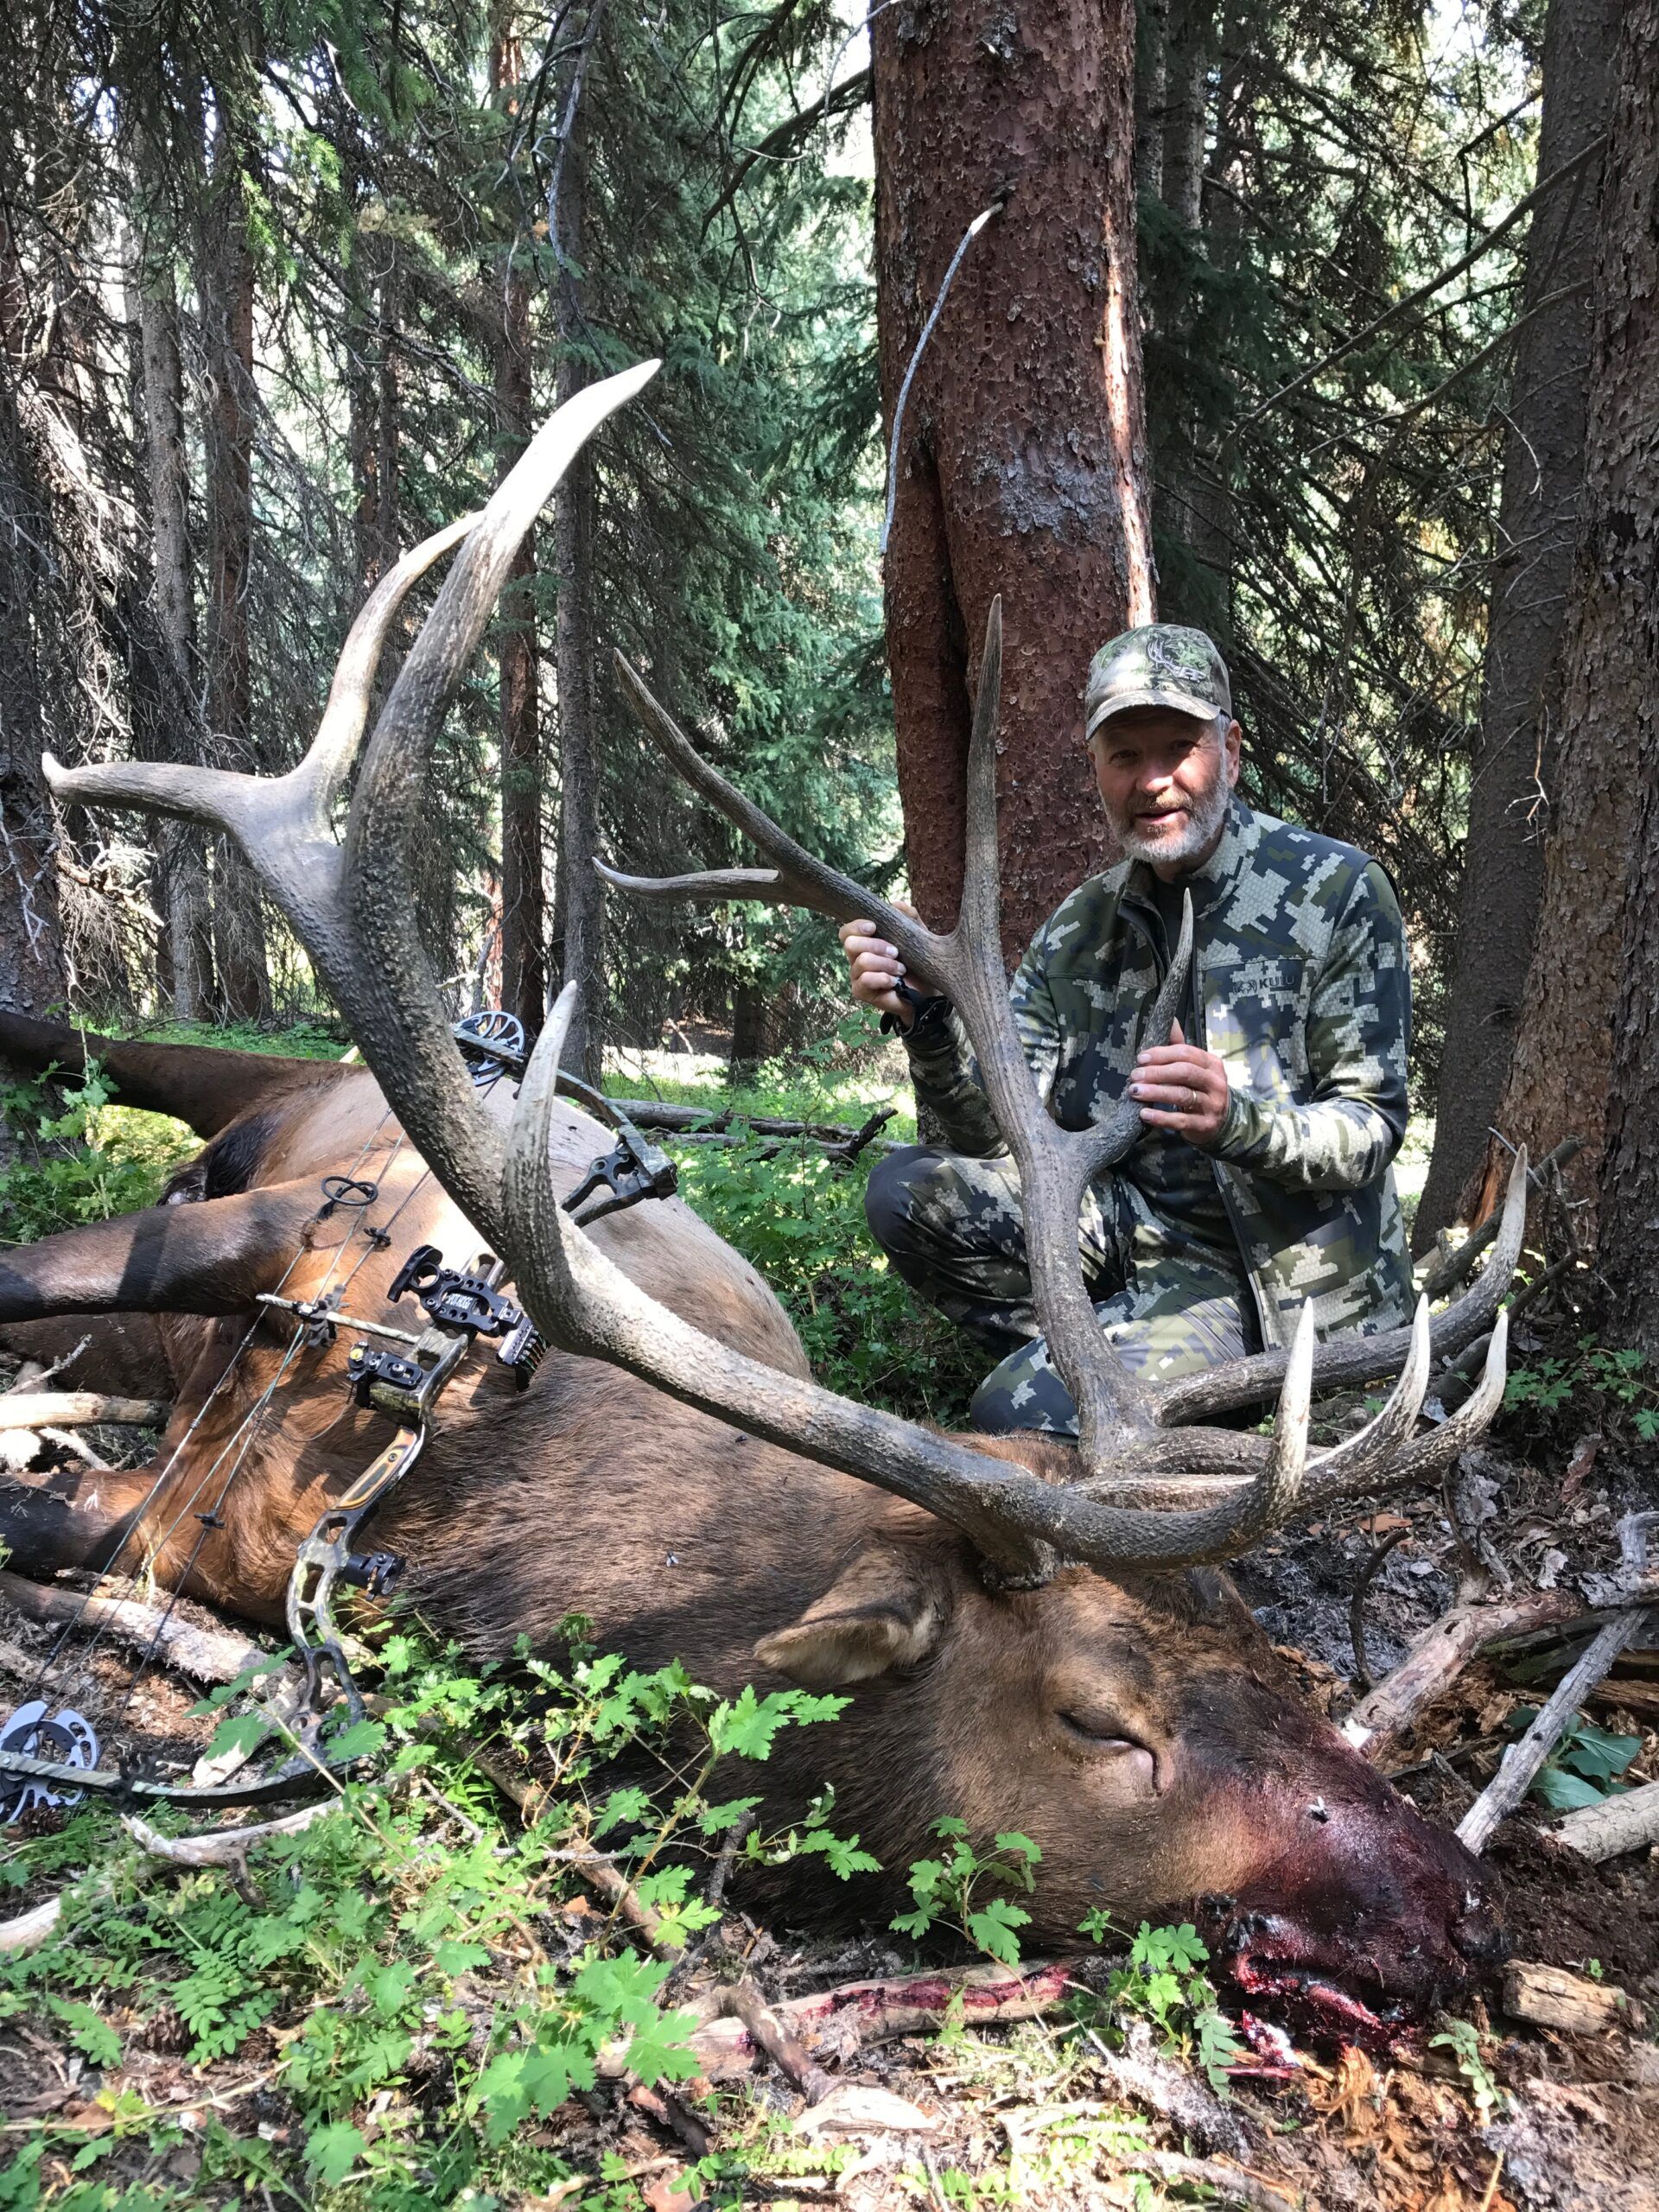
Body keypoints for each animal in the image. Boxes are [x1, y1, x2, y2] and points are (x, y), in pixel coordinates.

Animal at [0, 362, 1526, 2037]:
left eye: (1271, 1652)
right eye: (1102, 1722)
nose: (1467, 1908)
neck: (468, 1493)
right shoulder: (263, 1307)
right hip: (254, 1124)